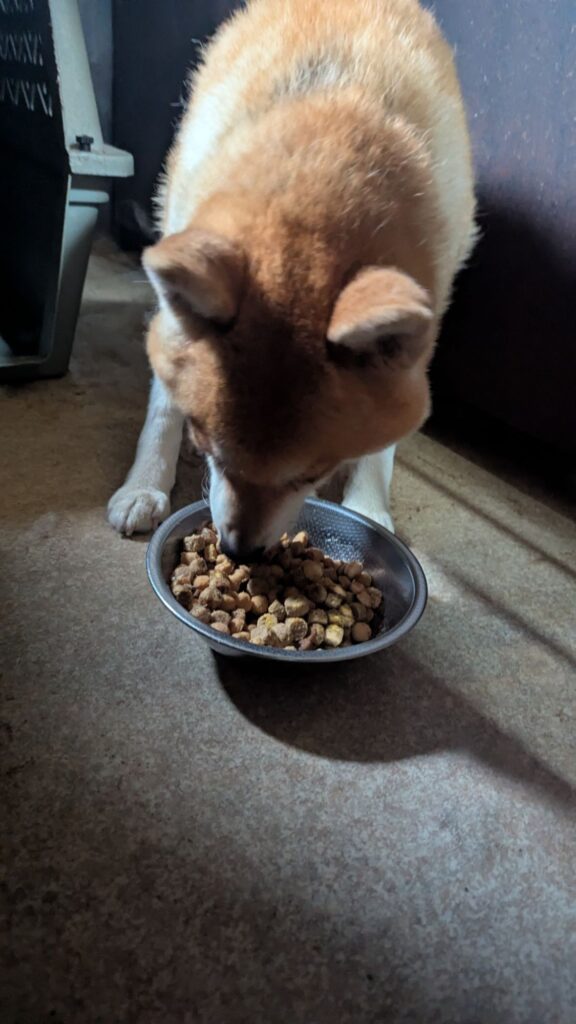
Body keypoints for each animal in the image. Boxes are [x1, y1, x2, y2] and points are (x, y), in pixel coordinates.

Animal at [108, 0, 475, 559]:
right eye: (207, 445)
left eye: (311, 474)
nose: (238, 550)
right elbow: (164, 405)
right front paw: (144, 485)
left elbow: (382, 447)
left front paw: (369, 508)